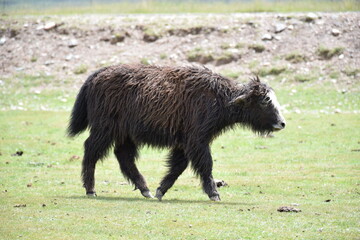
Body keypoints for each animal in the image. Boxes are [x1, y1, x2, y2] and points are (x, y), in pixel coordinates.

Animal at [69, 63, 286, 201]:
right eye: (264, 101)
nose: (282, 123)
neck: (220, 98)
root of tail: (96, 76)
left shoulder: (184, 144)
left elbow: (178, 166)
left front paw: (160, 191)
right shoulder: (197, 140)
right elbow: (205, 164)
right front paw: (215, 194)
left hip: (125, 135)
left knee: (124, 157)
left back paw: (146, 191)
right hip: (105, 130)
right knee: (92, 150)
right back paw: (91, 190)